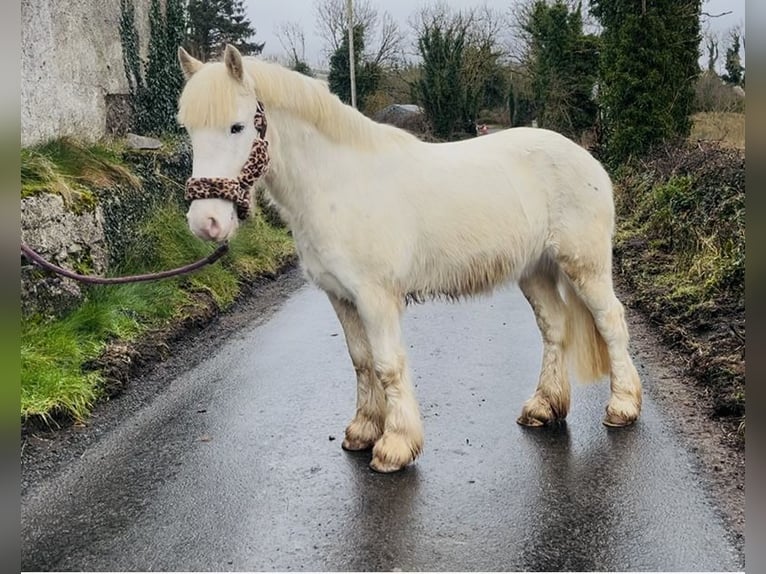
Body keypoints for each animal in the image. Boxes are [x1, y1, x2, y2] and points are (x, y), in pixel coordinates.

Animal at [175, 44, 642, 473]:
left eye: (236, 127)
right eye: (189, 130)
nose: (206, 222)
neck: (338, 184)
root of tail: (587, 159)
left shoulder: (375, 297)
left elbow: (387, 365)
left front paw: (395, 446)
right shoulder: (340, 297)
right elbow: (361, 361)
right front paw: (364, 430)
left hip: (585, 266)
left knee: (611, 322)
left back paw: (622, 407)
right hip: (535, 270)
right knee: (555, 329)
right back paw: (544, 407)